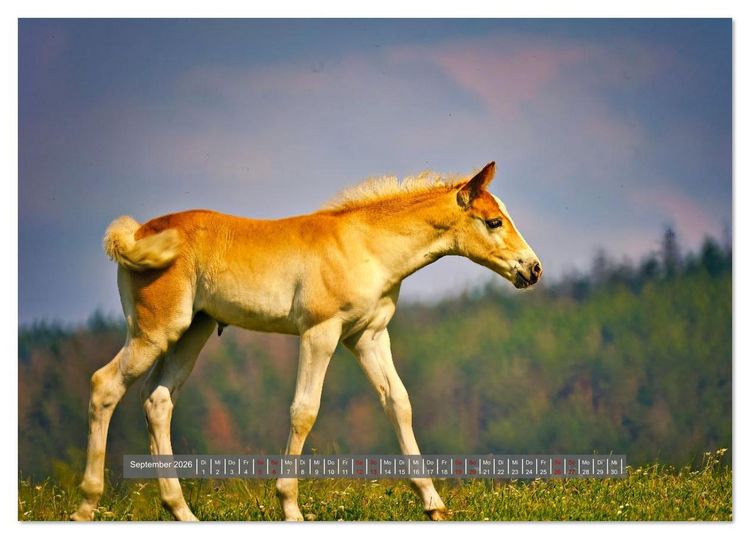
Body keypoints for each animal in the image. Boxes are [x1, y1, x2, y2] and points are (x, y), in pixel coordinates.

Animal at [71, 161, 542, 521]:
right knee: (104, 385)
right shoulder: (320, 332)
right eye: (494, 221)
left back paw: (181, 510)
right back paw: (87, 506)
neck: (365, 246)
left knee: (157, 401)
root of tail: (139, 233)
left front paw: (434, 505)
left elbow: (398, 403)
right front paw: (290, 507)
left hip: (192, 331)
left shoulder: (369, 336)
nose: (533, 269)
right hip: (155, 330)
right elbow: (304, 411)